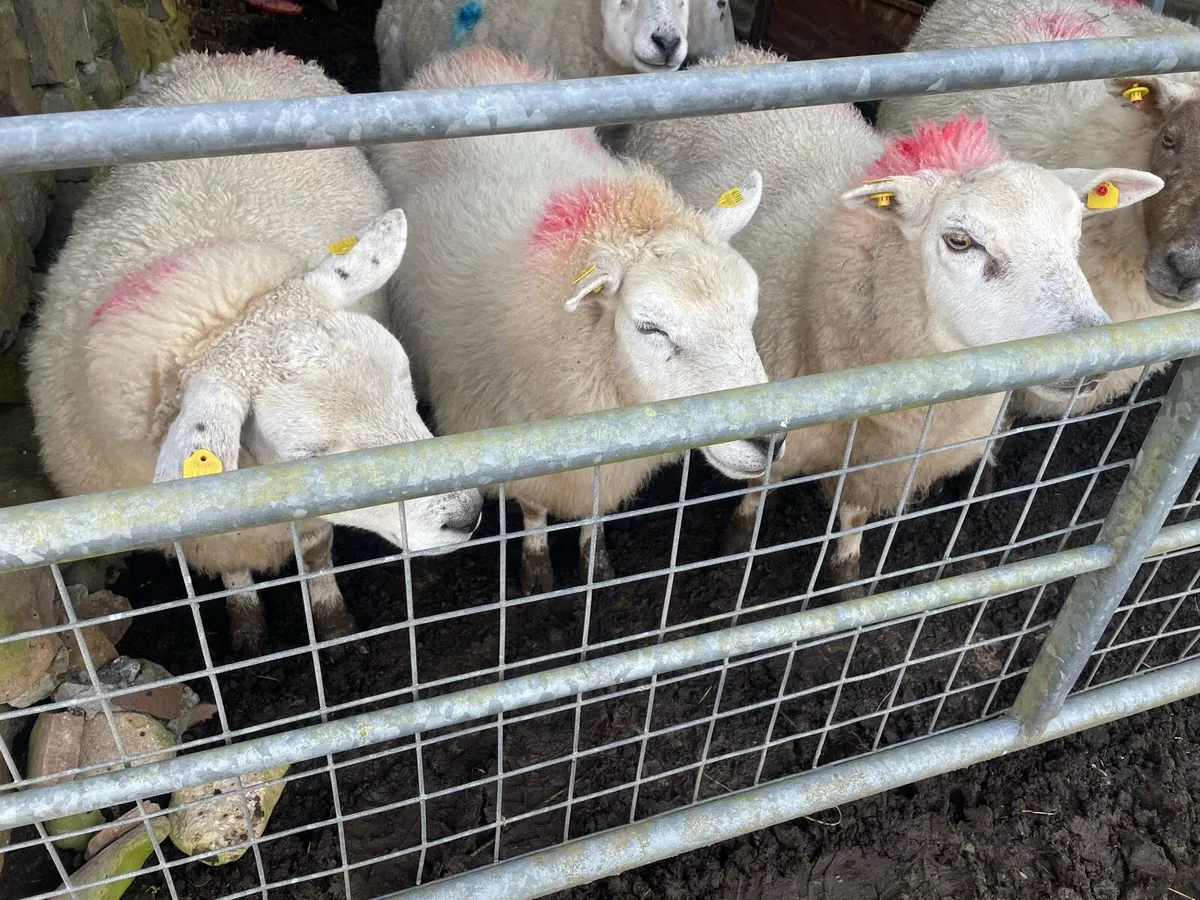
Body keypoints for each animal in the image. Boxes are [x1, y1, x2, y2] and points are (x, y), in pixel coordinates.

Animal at [27, 51, 484, 654]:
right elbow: (234, 575)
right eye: (311, 455)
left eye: (407, 390)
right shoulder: (218, 536)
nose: (467, 514)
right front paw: (247, 628)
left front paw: (331, 622)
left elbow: (314, 552)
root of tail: (226, 58)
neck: (220, 309)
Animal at [370, 47, 781, 595]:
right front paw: (537, 568)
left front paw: (594, 562)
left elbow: (595, 509)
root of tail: (470, 58)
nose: (770, 439)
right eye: (650, 328)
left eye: (749, 312)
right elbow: (534, 509)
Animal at [625, 46, 1164, 595]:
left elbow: (853, 519)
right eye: (960, 241)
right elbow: (757, 492)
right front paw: (735, 550)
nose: (1091, 356)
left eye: (1076, 235)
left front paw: (848, 580)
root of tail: (738, 57)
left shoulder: (881, 463)